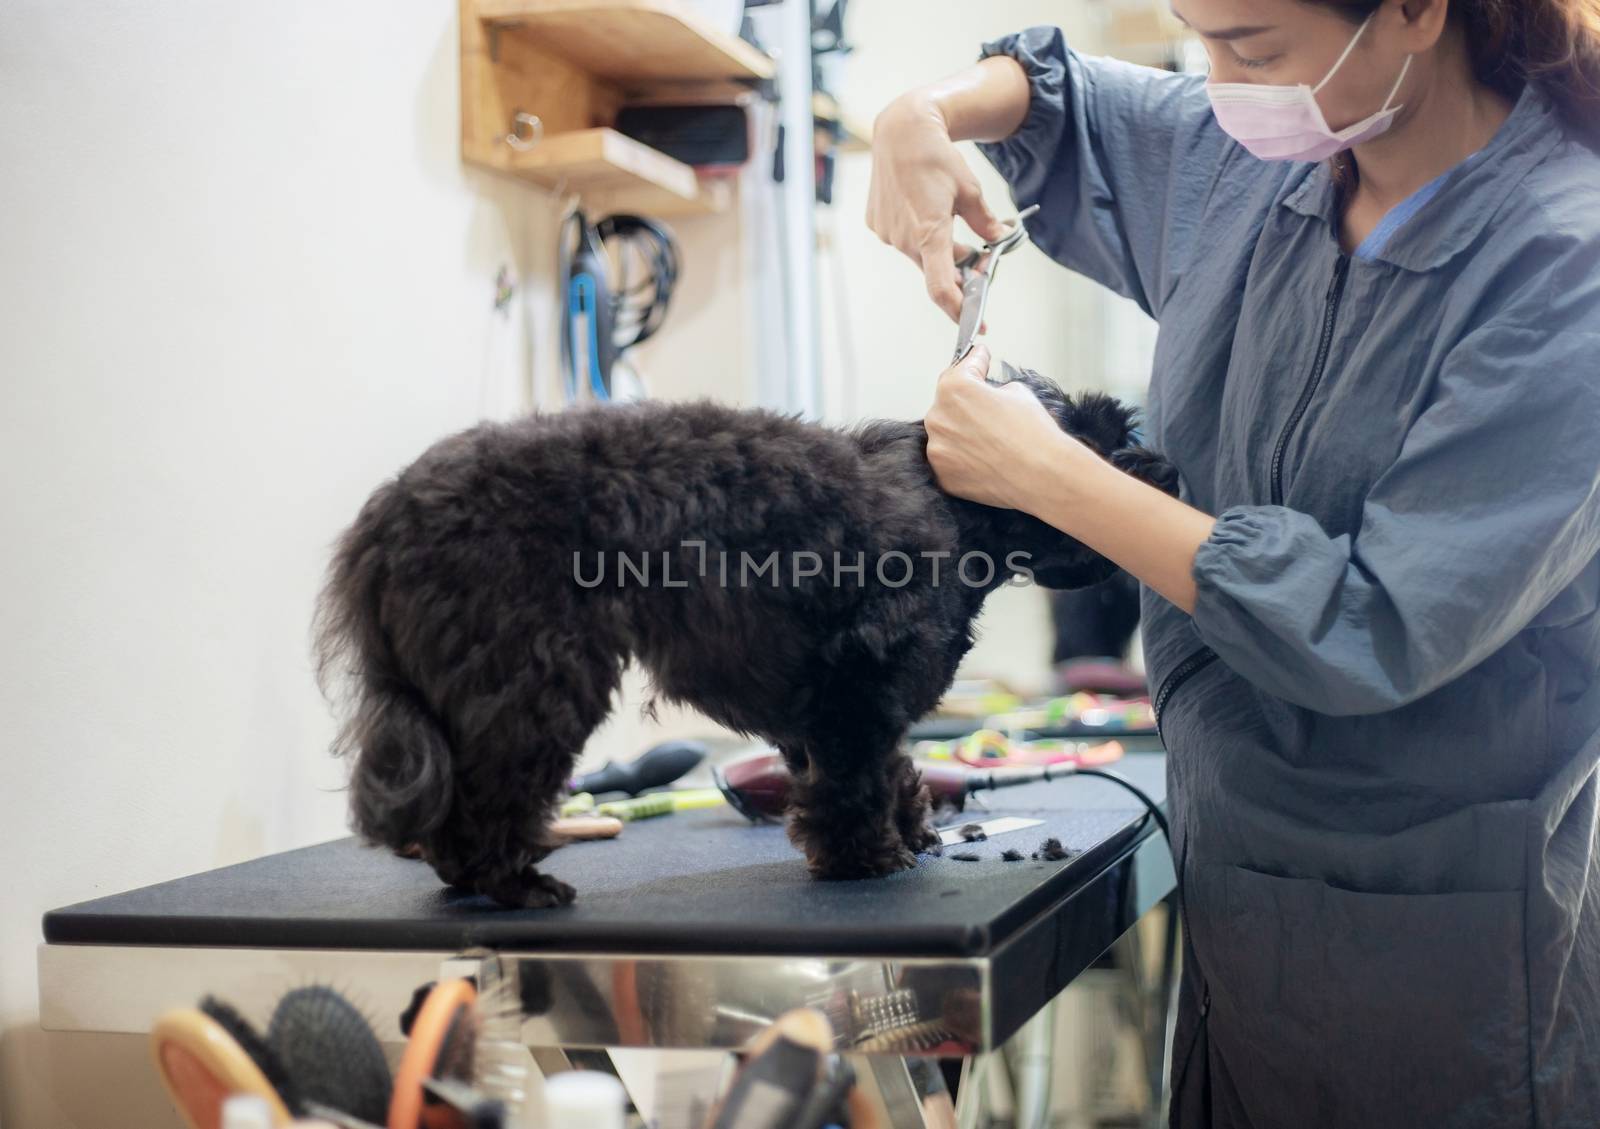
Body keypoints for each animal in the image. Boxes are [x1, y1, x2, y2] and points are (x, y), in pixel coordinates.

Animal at [312, 369, 1177, 908]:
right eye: (1103, 444)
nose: (1166, 472)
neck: (955, 503)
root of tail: (385, 522)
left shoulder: (834, 703)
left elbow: (886, 768)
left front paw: (904, 830)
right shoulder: (855, 689)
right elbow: (854, 780)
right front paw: (866, 858)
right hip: (531, 684)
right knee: (488, 796)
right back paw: (513, 883)